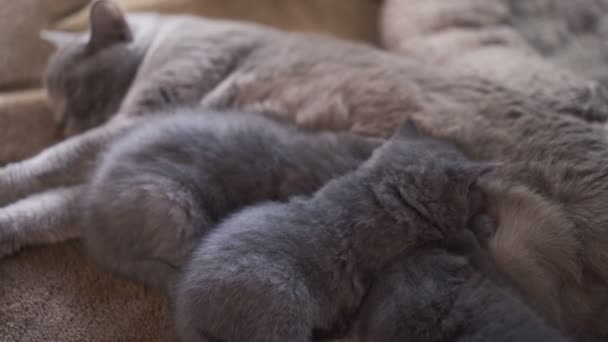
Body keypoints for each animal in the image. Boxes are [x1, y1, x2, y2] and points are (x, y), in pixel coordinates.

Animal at [172, 120, 494, 342]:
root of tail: (188, 312)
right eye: (473, 189)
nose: (484, 194)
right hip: (283, 313)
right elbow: (462, 240)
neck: (382, 188)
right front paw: (482, 226)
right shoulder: (416, 247)